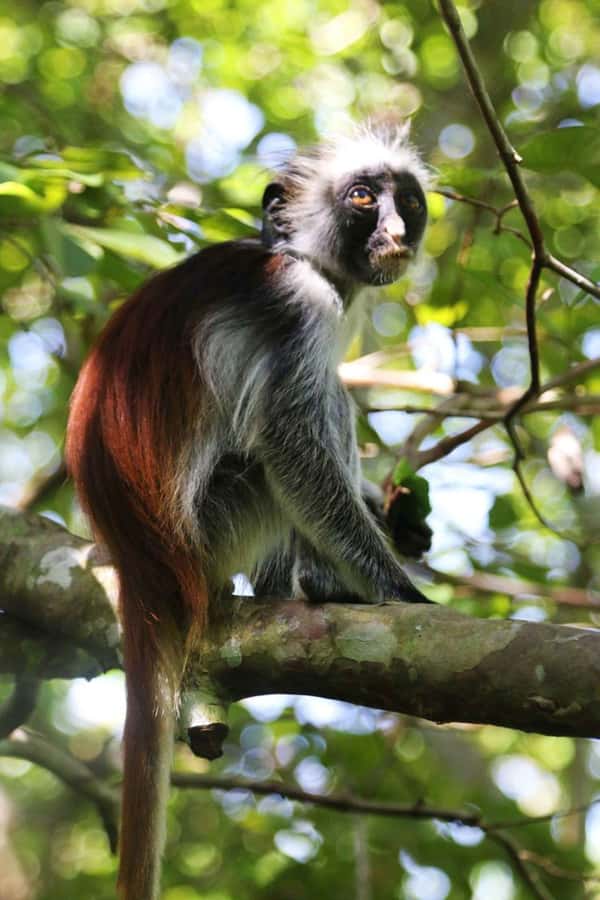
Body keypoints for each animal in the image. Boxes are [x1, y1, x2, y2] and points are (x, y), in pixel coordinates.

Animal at [65, 121, 431, 900]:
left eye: (408, 202)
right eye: (363, 197)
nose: (394, 229)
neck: (291, 254)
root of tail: (141, 562)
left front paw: (399, 524)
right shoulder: (298, 301)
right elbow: (290, 444)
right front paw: (398, 589)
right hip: (218, 521)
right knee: (294, 428)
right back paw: (317, 584)